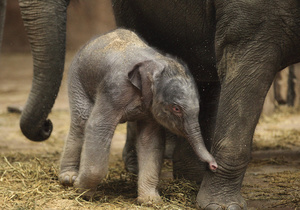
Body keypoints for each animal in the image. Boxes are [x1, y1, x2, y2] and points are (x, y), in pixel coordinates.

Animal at [59, 28, 218, 203]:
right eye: (176, 108)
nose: (214, 166)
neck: (154, 64)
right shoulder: (115, 89)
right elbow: (98, 126)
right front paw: (81, 190)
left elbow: (150, 140)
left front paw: (150, 201)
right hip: (77, 78)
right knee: (81, 120)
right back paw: (68, 178)